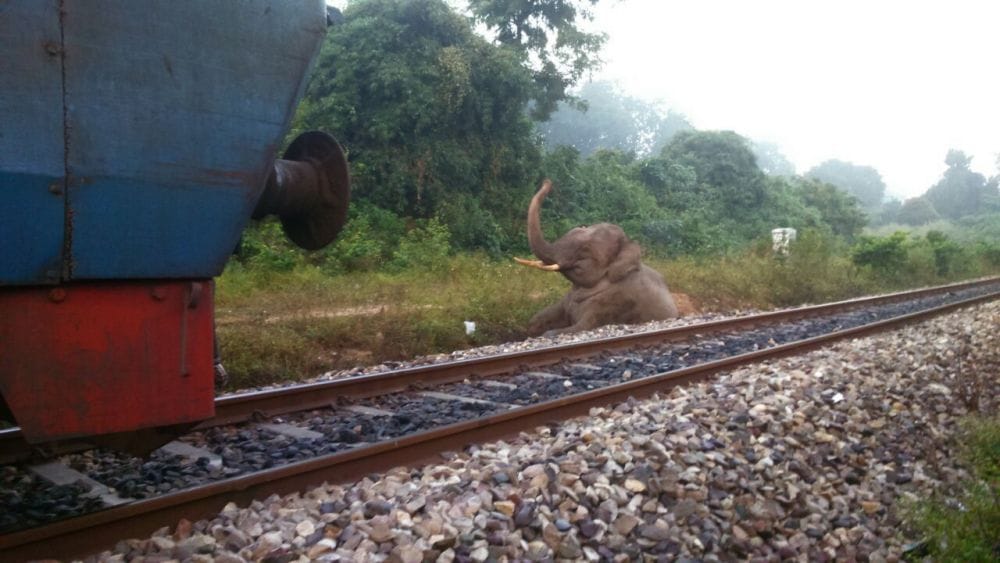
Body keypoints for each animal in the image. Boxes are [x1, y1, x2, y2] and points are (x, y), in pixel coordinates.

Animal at [515, 179, 679, 336]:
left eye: (585, 249)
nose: (547, 181)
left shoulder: (618, 300)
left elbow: (583, 326)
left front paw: (549, 333)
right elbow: (539, 318)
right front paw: (528, 330)